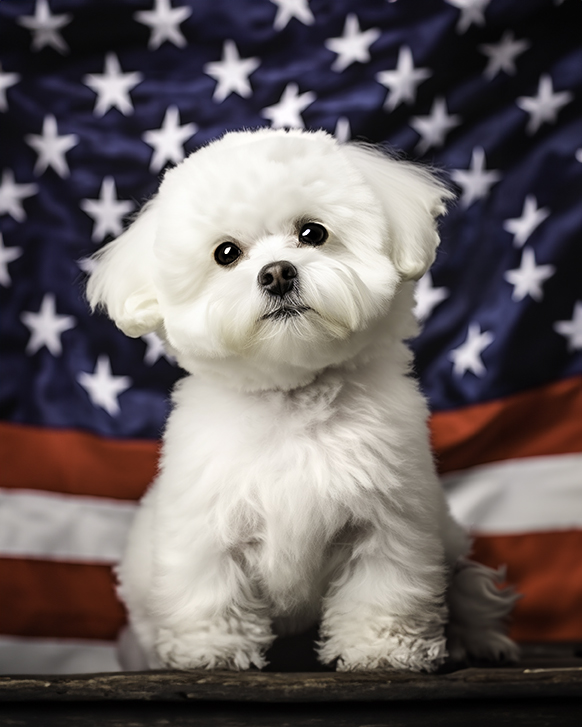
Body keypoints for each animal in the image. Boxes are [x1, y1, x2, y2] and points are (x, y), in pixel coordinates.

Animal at [86, 128, 520, 672]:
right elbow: (210, 589)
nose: (276, 273)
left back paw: (478, 640)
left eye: (313, 233)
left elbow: (383, 589)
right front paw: (213, 651)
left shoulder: (390, 521)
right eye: (226, 253)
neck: (292, 398)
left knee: (468, 590)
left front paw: (381, 650)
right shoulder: (206, 526)